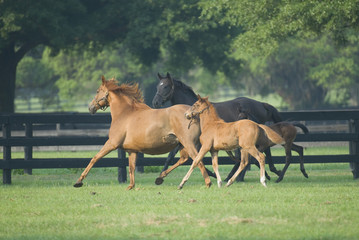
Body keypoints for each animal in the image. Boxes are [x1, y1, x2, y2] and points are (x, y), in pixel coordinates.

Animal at [74, 76, 212, 189]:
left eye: (98, 91)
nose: (90, 107)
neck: (124, 113)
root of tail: (193, 113)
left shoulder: (112, 143)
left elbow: (94, 158)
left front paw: (78, 182)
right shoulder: (132, 150)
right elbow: (131, 167)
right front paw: (131, 186)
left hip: (188, 143)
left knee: (196, 160)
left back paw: (206, 183)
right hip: (182, 144)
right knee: (184, 159)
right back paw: (161, 177)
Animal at [153, 72, 288, 183]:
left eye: (166, 86)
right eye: (158, 86)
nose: (155, 102)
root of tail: (261, 104)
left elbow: (194, 157)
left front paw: (212, 174)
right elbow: (171, 157)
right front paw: (160, 176)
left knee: (259, 152)